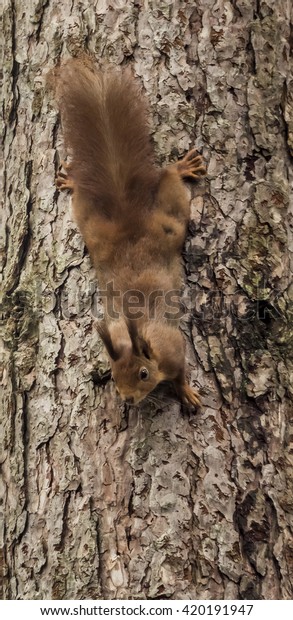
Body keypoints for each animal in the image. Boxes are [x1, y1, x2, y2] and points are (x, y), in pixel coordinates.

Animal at [50, 57, 205, 406]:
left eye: (143, 374)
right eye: (113, 375)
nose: (127, 399)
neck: (142, 339)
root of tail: (127, 220)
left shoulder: (173, 349)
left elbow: (180, 372)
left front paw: (185, 391)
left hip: (170, 221)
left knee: (171, 183)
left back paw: (181, 167)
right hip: (90, 222)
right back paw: (73, 181)